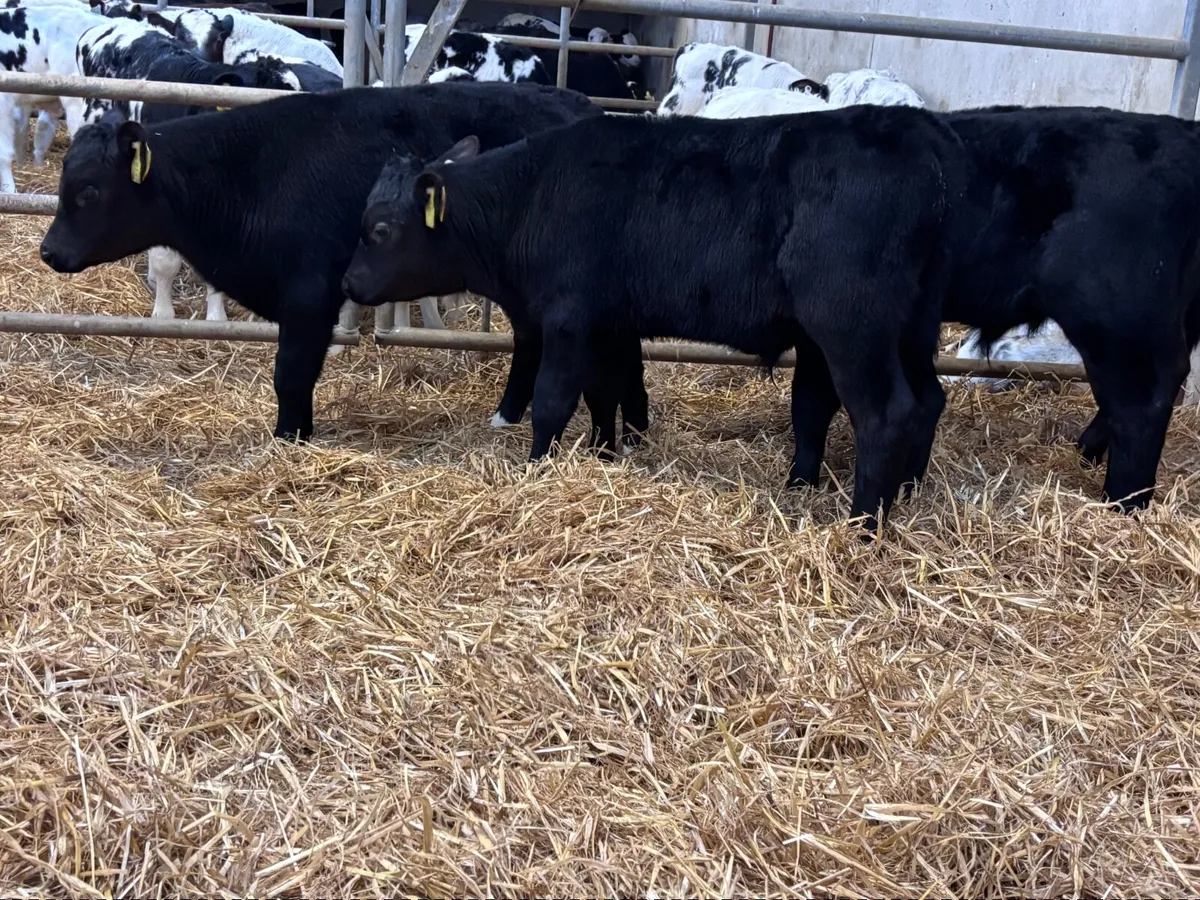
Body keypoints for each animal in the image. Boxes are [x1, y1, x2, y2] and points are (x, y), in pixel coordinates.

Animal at [38, 83, 606, 446]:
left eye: (88, 191)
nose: (48, 251)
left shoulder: (310, 295)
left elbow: (290, 373)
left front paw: (288, 438)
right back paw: (506, 416)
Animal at [340, 108, 967, 529]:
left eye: (380, 229)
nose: (348, 282)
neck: (529, 196)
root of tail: (917, 129)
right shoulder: (610, 324)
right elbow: (605, 394)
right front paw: (602, 456)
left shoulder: (568, 318)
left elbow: (553, 400)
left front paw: (538, 467)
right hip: (913, 326)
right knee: (924, 401)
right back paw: (904, 496)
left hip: (853, 326)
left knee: (886, 413)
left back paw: (862, 525)